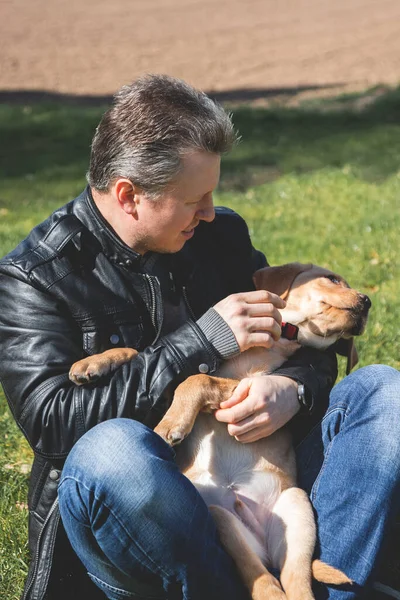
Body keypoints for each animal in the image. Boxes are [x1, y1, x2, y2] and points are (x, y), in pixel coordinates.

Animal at [69, 262, 372, 600]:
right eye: (332, 279)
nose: (367, 302)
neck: (283, 333)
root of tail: (263, 543)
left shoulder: (251, 386)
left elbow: (196, 380)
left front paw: (171, 425)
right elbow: (140, 353)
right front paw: (92, 363)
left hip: (296, 509)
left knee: (289, 583)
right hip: (222, 519)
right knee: (262, 576)